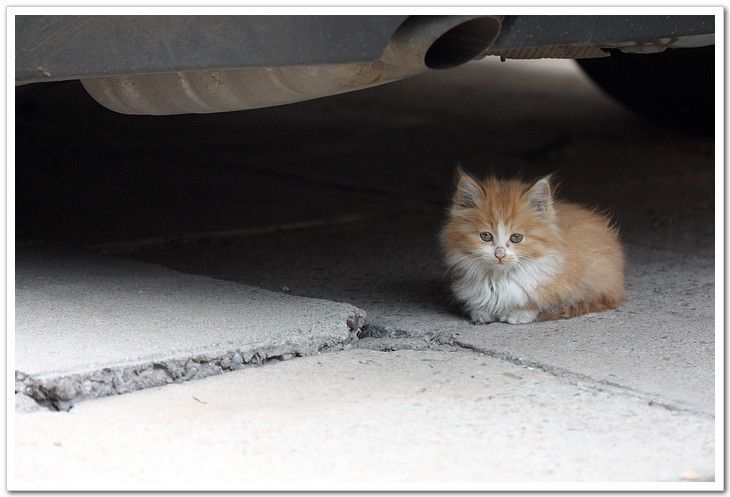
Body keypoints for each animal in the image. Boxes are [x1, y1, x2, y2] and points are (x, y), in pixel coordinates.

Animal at [438, 170, 620, 326]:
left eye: (516, 238)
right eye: (486, 236)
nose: (499, 254)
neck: (500, 278)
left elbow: (536, 301)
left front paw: (519, 313)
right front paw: (481, 312)